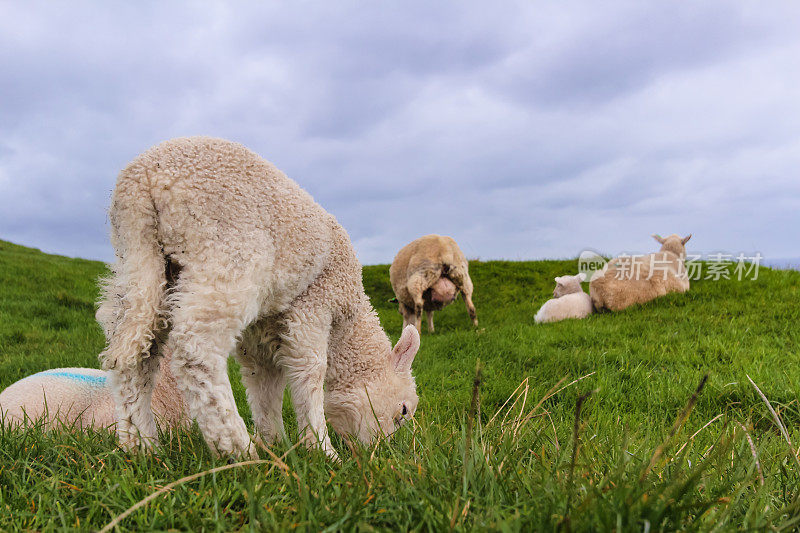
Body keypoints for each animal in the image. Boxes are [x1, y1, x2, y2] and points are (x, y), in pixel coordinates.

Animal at [97, 136, 422, 458]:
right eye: (403, 411)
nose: (382, 452)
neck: (347, 315)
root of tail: (142, 181)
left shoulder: (263, 325)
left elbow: (264, 381)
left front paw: (274, 441)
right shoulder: (314, 300)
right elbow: (309, 371)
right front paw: (321, 449)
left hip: (141, 263)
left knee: (136, 351)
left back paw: (141, 445)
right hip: (227, 253)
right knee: (195, 348)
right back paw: (236, 449)